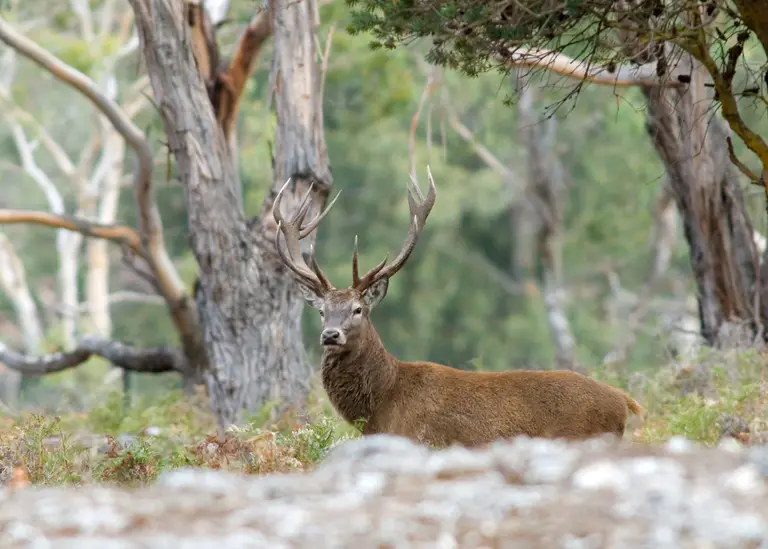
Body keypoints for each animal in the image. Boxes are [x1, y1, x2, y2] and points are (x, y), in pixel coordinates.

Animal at [271, 168, 644, 448]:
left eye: (357, 309)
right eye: (322, 311)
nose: (330, 335)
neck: (381, 406)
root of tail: (623, 401)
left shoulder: (421, 441)